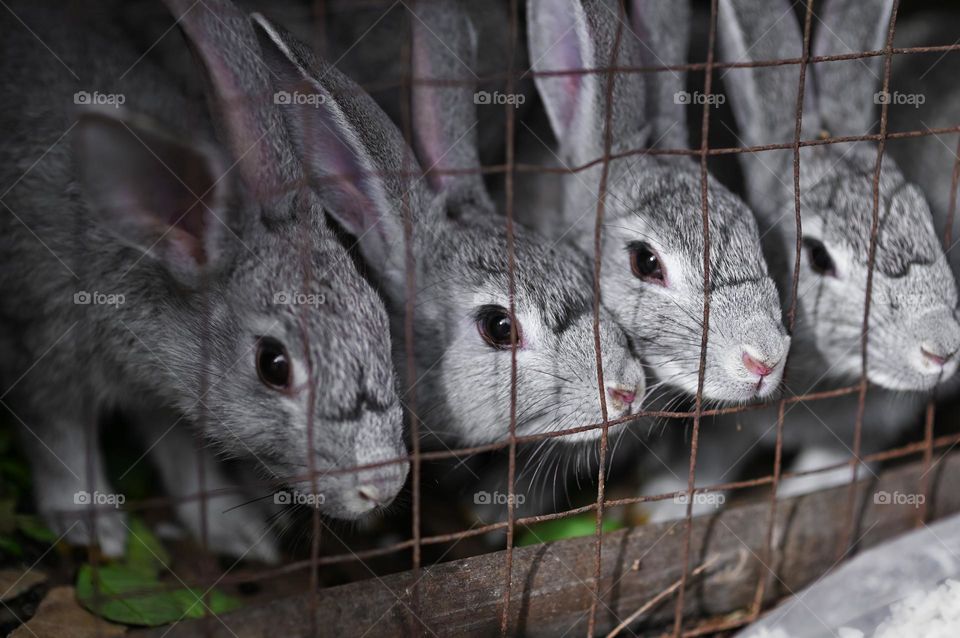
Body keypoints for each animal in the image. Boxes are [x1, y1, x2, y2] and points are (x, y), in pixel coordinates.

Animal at [0, 0, 408, 560]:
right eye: (273, 365)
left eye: (382, 324)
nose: (383, 486)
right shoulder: (43, 354)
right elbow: (60, 439)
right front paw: (94, 527)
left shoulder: (165, 395)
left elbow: (180, 452)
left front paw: (236, 533)